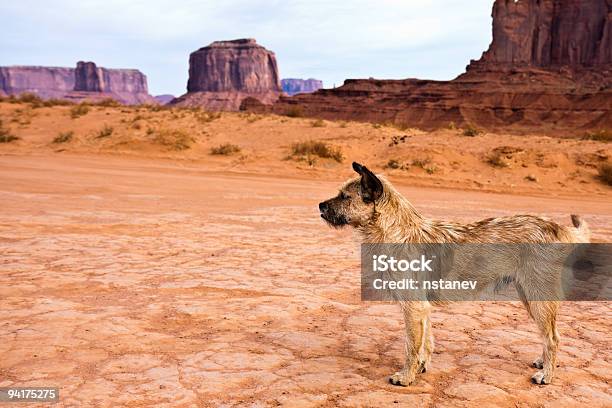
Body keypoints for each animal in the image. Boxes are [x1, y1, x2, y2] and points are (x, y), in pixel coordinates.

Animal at [318, 162, 592, 386]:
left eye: (344, 196)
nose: (319, 204)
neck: (396, 230)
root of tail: (557, 228)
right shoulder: (422, 308)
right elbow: (426, 341)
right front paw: (421, 368)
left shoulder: (412, 307)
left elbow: (411, 346)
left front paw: (405, 377)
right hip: (529, 296)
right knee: (550, 336)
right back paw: (543, 362)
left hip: (538, 299)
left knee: (553, 337)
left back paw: (547, 374)